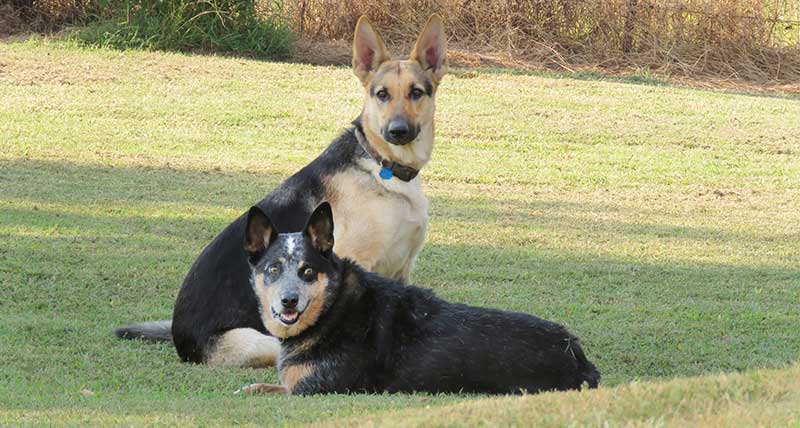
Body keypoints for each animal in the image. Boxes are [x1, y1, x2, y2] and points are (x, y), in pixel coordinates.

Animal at [114, 15, 450, 366]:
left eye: (416, 93)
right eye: (382, 94)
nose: (398, 131)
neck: (381, 164)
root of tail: (181, 340)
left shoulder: (401, 270)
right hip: (266, 339)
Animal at [238, 202, 600, 396]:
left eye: (308, 271)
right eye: (273, 269)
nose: (289, 301)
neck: (334, 307)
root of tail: (575, 352)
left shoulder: (314, 389)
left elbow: (263, 388)